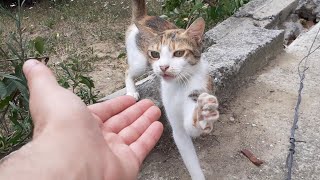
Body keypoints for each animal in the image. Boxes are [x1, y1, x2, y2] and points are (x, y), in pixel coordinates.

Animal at [124, 0, 219, 179]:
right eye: (155, 54)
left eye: (179, 53)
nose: (163, 67)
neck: (179, 86)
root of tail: (144, 17)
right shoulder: (176, 127)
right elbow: (186, 151)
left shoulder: (199, 88)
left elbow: (192, 126)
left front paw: (202, 114)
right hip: (140, 63)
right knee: (127, 71)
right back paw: (131, 91)